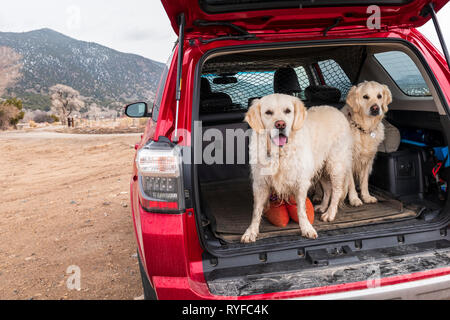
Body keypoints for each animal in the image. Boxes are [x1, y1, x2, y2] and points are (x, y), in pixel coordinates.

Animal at [241, 94, 354, 244]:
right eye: (268, 112)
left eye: (288, 111)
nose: (280, 124)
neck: (280, 153)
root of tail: (336, 110)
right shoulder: (260, 183)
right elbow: (256, 211)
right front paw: (251, 231)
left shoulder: (301, 181)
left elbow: (301, 209)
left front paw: (306, 228)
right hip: (321, 167)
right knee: (328, 189)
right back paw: (323, 207)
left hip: (335, 165)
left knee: (336, 190)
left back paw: (330, 213)